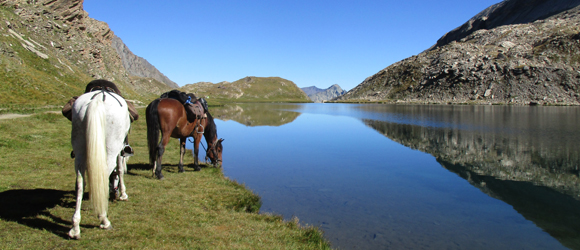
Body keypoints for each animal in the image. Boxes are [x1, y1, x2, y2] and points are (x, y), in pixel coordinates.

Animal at [68, 89, 131, 238]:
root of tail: (97, 98)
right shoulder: (119, 149)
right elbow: (120, 169)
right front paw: (123, 194)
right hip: (111, 148)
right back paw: (104, 219)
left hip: (79, 147)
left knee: (80, 183)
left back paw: (75, 227)